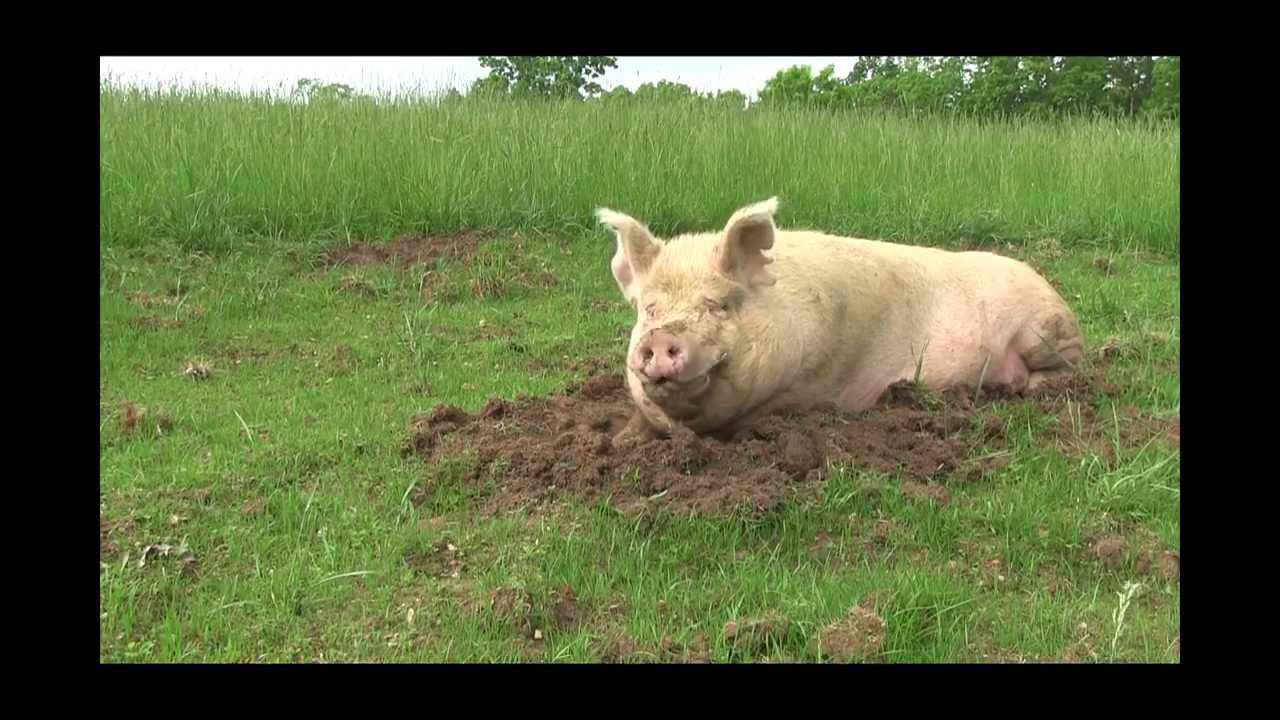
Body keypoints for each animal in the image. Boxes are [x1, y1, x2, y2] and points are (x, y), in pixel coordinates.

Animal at [596, 197, 1084, 437]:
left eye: (719, 304)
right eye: (650, 309)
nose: (660, 338)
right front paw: (622, 441)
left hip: (1047, 331)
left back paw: (1026, 388)